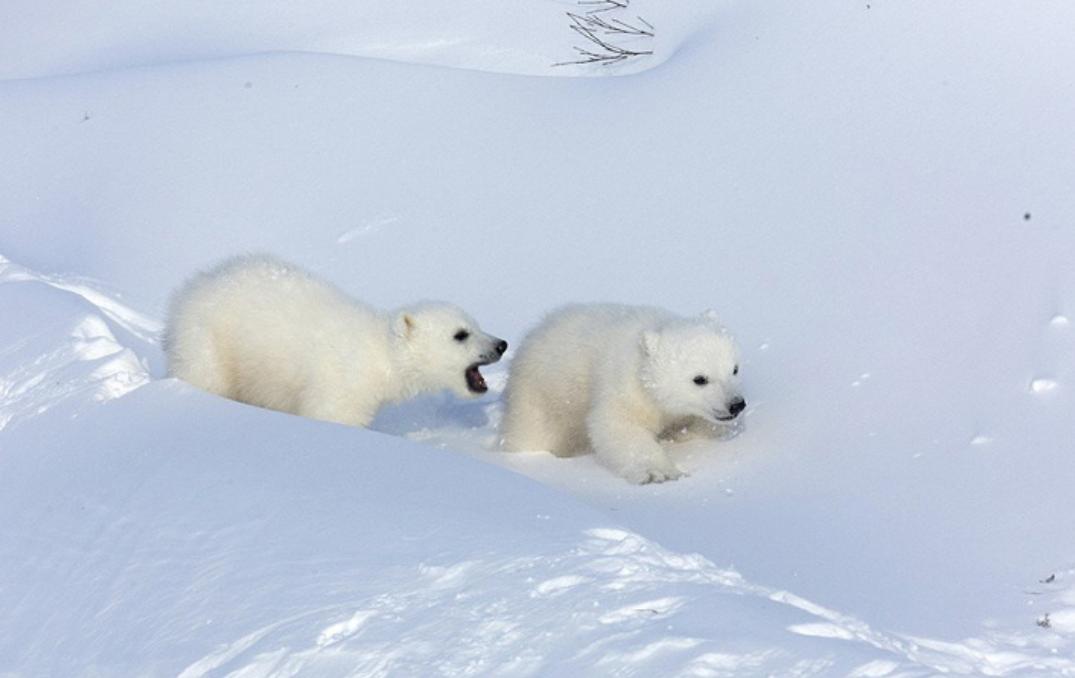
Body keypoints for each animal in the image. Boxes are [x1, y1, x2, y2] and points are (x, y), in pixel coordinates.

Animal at [164, 255, 507, 427]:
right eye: (460, 334)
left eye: (477, 324)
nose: (501, 344)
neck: (379, 355)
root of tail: (191, 288)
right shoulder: (342, 387)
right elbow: (334, 415)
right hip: (210, 340)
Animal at [500, 304, 745, 484]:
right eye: (700, 379)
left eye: (734, 368)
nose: (736, 404)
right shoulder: (623, 387)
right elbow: (619, 426)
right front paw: (658, 472)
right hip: (540, 399)